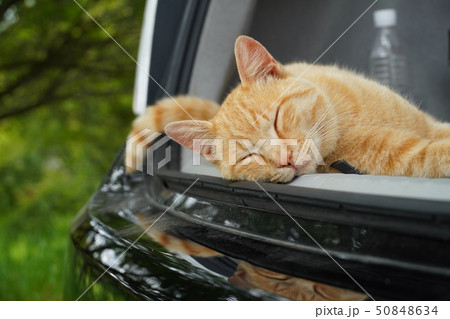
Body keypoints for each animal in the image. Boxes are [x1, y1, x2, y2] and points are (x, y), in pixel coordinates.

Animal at [126, 35, 450, 182]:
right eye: (249, 156)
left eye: (277, 120)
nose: (286, 159)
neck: (343, 120)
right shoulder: (408, 156)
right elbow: (434, 156)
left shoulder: (428, 124)